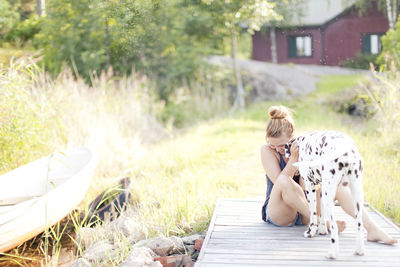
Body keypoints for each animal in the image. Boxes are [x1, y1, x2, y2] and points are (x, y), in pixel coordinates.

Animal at [284, 131, 366, 260]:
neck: (301, 142)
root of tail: (345, 148)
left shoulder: (310, 187)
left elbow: (313, 214)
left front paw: (311, 232)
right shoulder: (322, 189)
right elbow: (321, 212)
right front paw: (322, 229)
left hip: (330, 197)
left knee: (334, 227)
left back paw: (332, 253)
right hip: (355, 196)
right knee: (359, 224)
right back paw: (360, 250)